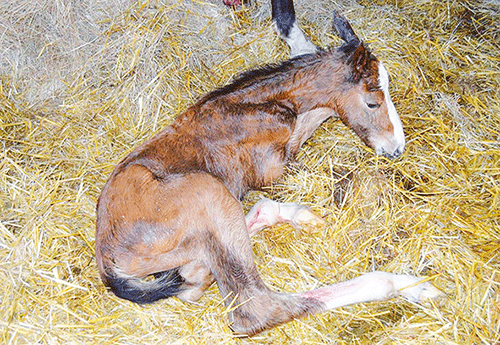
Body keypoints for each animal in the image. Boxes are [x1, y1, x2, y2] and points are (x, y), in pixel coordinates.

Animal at [95, 10, 440, 334]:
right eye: (372, 102)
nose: (396, 148)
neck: (275, 107)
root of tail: (107, 263)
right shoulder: (272, 171)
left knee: (197, 277)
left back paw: (296, 216)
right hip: (206, 190)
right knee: (254, 307)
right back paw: (406, 285)